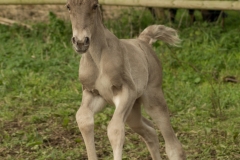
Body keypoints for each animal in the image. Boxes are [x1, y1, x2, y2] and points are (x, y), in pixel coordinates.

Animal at [66, 0, 187, 159]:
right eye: (68, 6)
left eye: (94, 6)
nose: (80, 42)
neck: (99, 59)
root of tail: (143, 40)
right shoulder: (92, 93)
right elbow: (83, 120)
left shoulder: (125, 91)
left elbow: (115, 130)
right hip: (133, 111)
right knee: (149, 131)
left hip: (153, 99)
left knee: (173, 146)